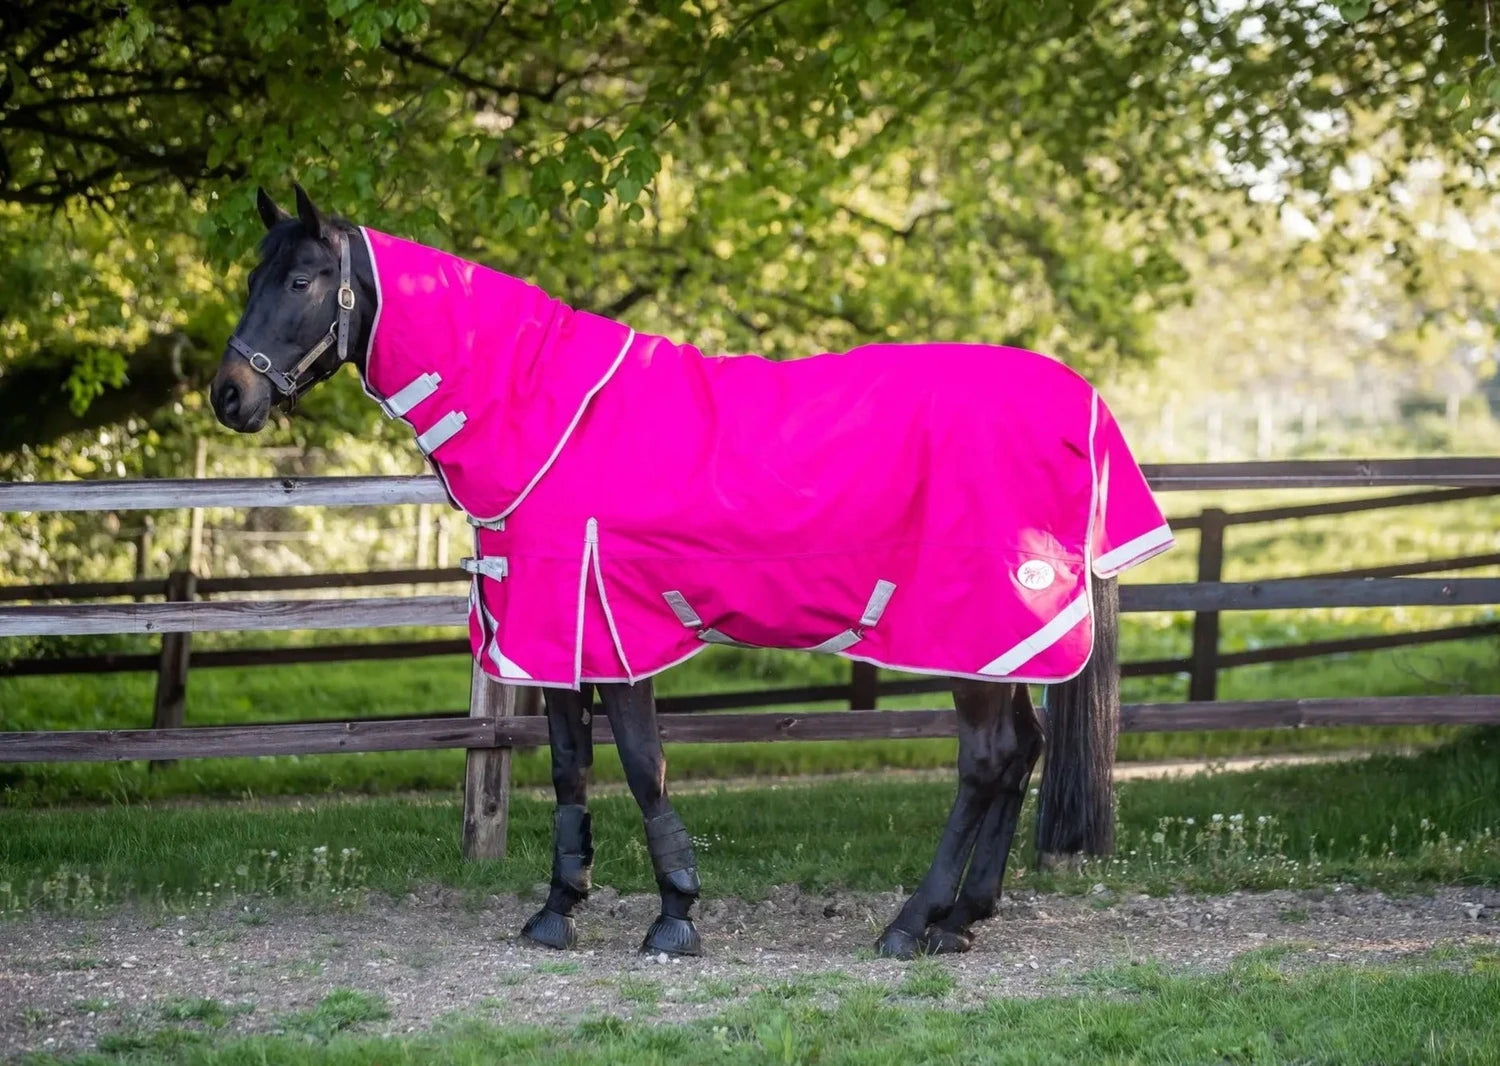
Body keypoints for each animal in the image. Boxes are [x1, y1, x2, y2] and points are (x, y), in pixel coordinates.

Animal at [210, 184, 1172, 960]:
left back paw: (911, 924)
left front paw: (673, 916)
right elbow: (570, 767)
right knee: (1020, 754)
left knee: (987, 759)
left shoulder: (612, 627)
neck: (550, 413)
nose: (229, 396)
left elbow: (644, 767)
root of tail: (1081, 405)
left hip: (966, 631)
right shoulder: (556, 635)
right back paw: (960, 920)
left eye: (302, 281)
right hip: (998, 649)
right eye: (254, 276)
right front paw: (557, 910)